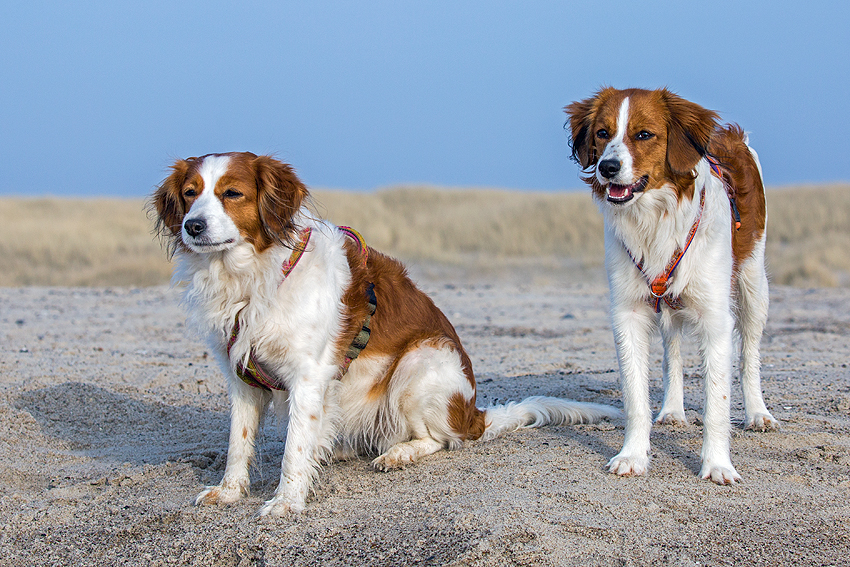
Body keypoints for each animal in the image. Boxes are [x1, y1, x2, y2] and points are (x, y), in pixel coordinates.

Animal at [152, 153, 620, 516]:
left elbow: (293, 450)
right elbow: (239, 442)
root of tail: (473, 413)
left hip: (421, 361)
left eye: (232, 193)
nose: (193, 226)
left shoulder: (308, 375)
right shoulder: (243, 378)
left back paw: (399, 452)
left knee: (442, 439)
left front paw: (286, 502)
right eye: (191, 193)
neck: (253, 279)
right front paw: (230, 492)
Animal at [564, 87, 776, 484]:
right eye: (603, 133)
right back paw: (674, 409)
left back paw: (758, 413)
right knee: (672, 350)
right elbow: (635, 397)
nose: (607, 168)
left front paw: (718, 464)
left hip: (753, 284)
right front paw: (633, 455)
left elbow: (717, 403)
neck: (655, 219)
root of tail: (731, 136)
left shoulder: (715, 318)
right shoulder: (629, 313)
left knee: (750, 353)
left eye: (644, 134)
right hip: (667, 304)